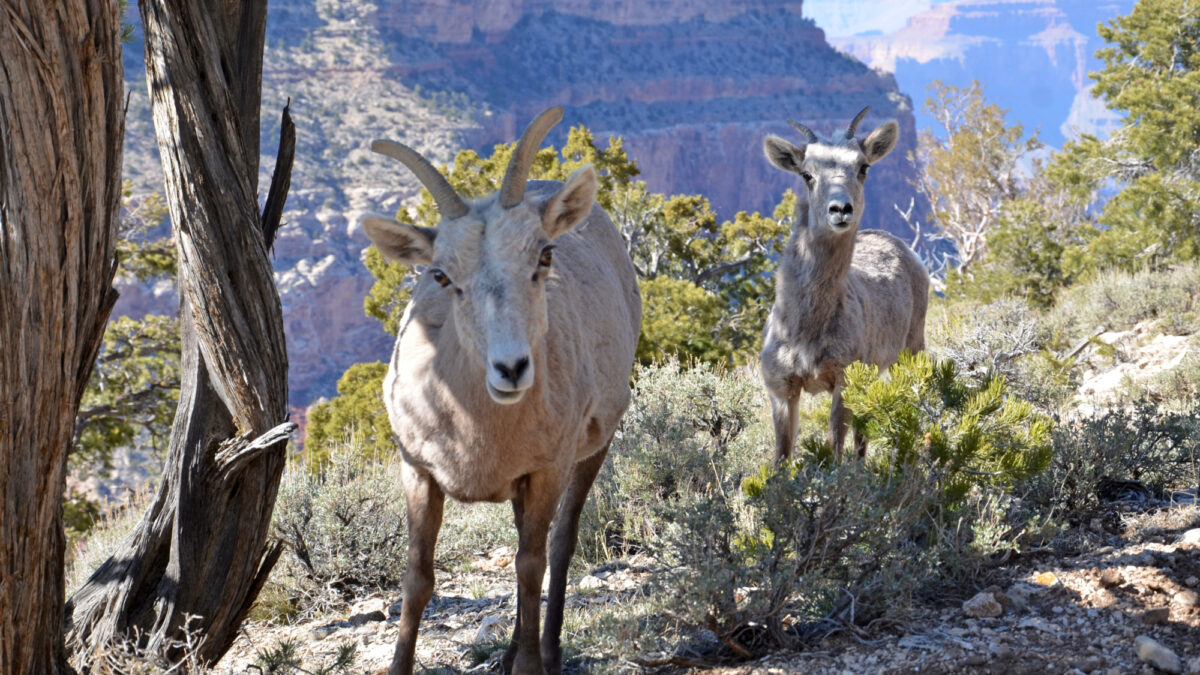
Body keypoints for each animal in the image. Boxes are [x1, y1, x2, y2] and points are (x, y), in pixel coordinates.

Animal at [360, 106, 641, 675]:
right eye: (441, 275)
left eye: (544, 255)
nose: (510, 369)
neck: (476, 430)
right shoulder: (418, 470)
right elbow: (418, 579)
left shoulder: (547, 469)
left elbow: (531, 565)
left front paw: (532, 664)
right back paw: (510, 651)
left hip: (593, 448)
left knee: (559, 543)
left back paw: (547, 652)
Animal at [759, 107, 929, 461]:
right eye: (806, 174)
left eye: (863, 167)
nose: (840, 209)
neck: (804, 332)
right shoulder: (780, 387)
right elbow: (782, 455)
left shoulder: (844, 377)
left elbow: (834, 448)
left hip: (911, 349)